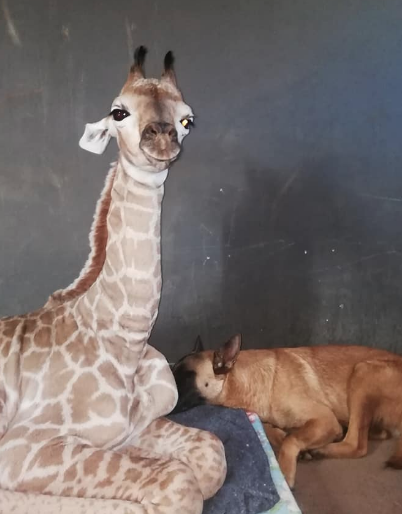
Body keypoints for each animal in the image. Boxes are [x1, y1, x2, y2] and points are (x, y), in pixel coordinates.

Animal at [0, 48, 226, 512]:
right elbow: (177, 482)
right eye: (118, 112)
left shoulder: (138, 426)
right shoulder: (21, 446)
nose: (161, 139)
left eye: (187, 120)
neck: (127, 343)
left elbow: (211, 454)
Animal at [172, 334, 402, 486]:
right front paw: (285, 437)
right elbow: (276, 432)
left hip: (364, 370)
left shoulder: (325, 419)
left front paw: (285, 471)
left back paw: (322, 449)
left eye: (186, 377)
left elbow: (291, 441)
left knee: (357, 444)